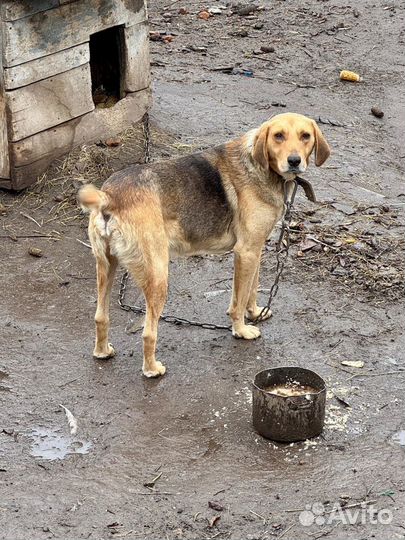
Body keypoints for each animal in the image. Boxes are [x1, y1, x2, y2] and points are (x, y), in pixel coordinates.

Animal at [78, 113, 328, 376]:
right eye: (278, 136)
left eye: (305, 136)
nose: (294, 161)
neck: (261, 166)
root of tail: (110, 197)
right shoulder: (246, 251)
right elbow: (238, 301)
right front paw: (241, 330)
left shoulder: (255, 249)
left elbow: (252, 288)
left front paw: (255, 312)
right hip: (158, 276)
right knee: (148, 332)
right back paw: (152, 369)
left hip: (106, 266)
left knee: (100, 317)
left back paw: (102, 351)